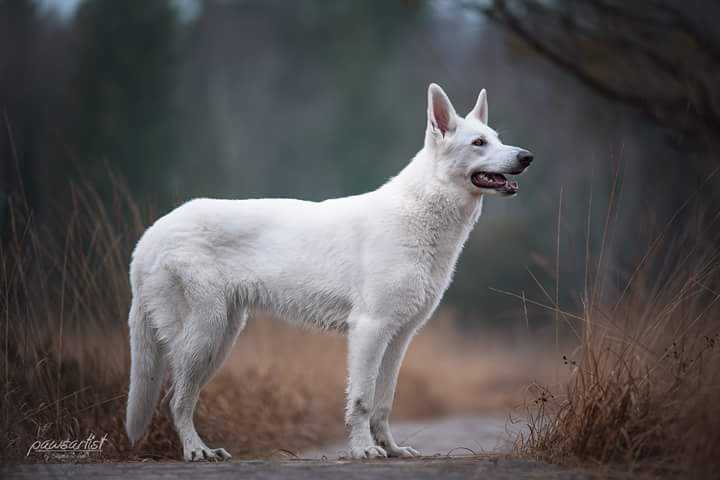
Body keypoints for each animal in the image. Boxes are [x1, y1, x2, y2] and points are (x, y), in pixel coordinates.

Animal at [126, 83, 536, 462]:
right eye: (479, 142)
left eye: (498, 139)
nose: (527, 156)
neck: (421, 217)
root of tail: (148, 237)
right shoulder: (369, 330)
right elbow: (362, 400)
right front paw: (364, 450)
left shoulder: (399, 337)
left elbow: (384, 402)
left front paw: (392, 449)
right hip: (204, 336)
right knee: (177, 402)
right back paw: (197, 451)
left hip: (221, 338)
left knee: (182, 398)